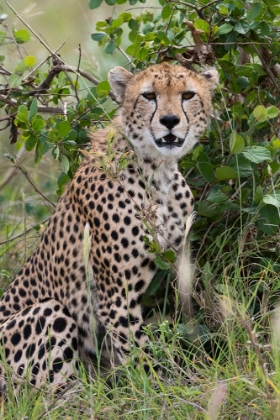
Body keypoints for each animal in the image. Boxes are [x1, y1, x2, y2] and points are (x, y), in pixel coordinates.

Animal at [0, 62, 218, 390]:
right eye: (149, 95)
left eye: (188, 95)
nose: (169, 121)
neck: (158, 171)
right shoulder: (116, 297)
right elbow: (140, 354)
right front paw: (160, 390)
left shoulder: (175, 260)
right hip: (48, 313)